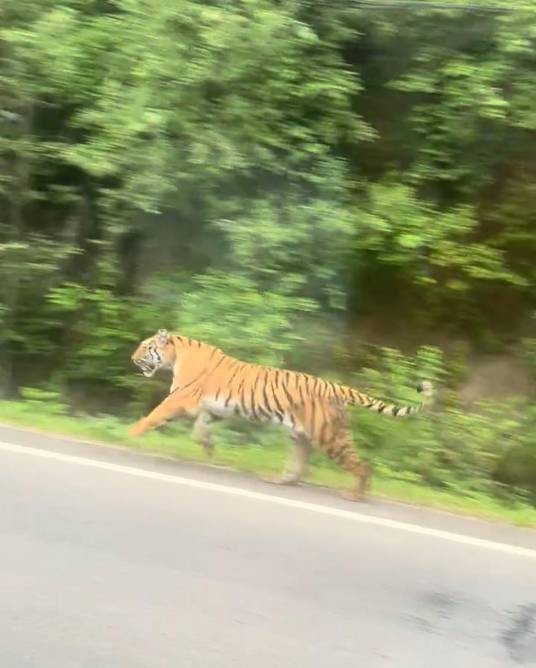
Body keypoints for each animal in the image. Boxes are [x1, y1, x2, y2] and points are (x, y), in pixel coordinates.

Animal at [129, 329, 434, 501]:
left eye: (146, 347)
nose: (132, 358)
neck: (176, 356)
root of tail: (337, 386)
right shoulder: (213, 408)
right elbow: (200, 429)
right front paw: (209, 450)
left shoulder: (180, 398)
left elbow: (154, 416)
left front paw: (130, 434)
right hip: (301, 435)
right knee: (300, 464)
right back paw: (280, 480)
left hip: (330, 437)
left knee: (361, 466)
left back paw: (356, 496)